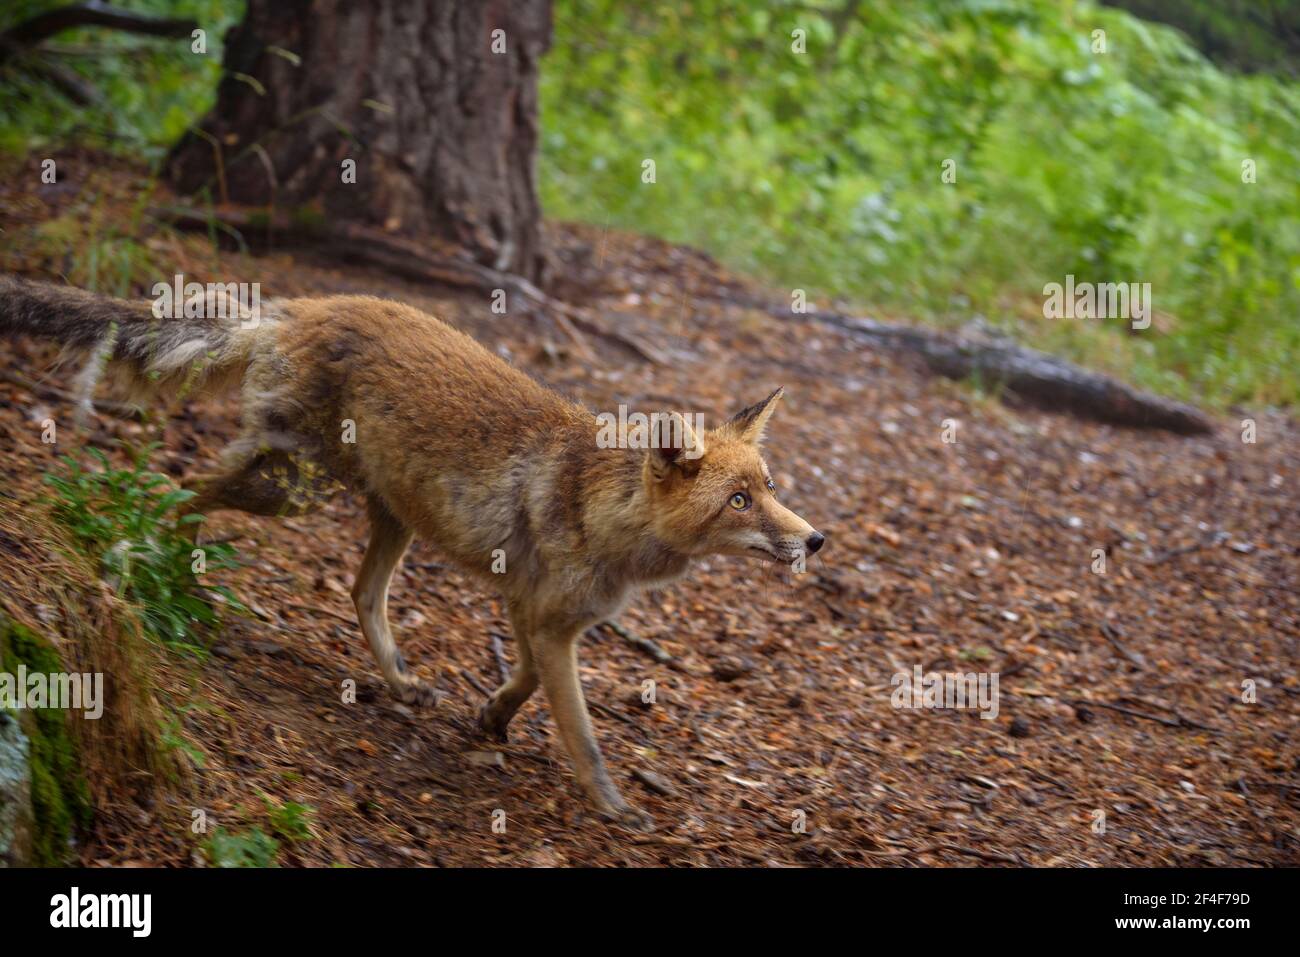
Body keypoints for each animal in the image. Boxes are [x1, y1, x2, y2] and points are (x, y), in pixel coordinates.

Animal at [0, 275, 825, 825]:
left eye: (768, 486)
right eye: (739, 501)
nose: (815, 538)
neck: (601, 513)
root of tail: (300, 305)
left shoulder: (533, 608)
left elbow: (524, 678)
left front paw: (491, 718)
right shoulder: (549, 621)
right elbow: (584, 736)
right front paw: (613, 805)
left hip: (383, 517)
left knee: (358, 594)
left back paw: (396, 682)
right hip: (290, 487)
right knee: (176, 489)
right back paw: (150, 561)